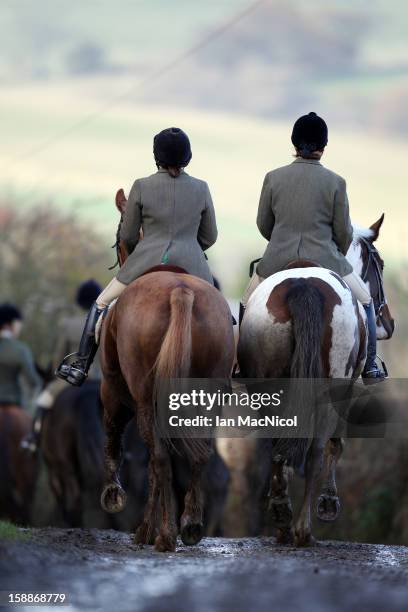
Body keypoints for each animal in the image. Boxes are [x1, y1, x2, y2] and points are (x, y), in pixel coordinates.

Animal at [237, 215, 394, 544]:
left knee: (277, 445)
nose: (389, 324)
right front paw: (329, 502)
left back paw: (282, 516)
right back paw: (302, 528)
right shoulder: (346, 390)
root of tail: (303, 285)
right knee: (316, 450)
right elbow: (336, 444)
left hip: (267, 386)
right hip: (329, 390)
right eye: (381, 265)